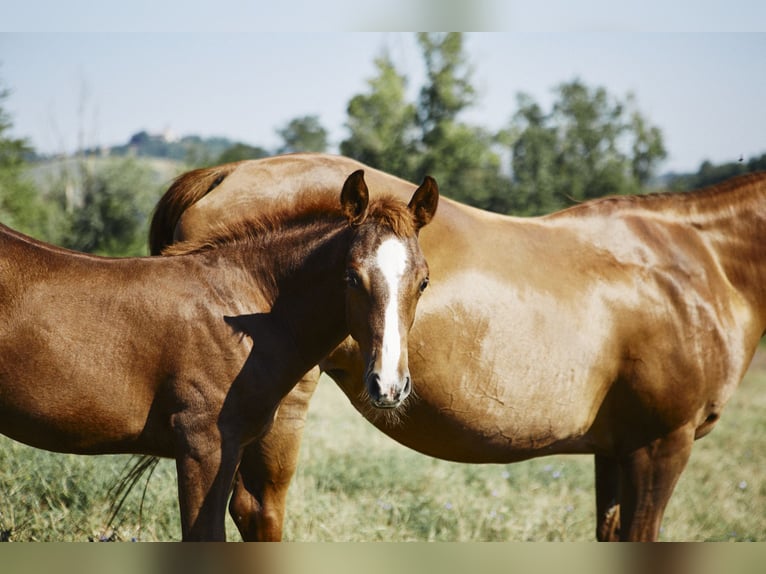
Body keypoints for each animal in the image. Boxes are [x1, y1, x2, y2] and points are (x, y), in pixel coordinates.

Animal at [0, 169, 440, 544]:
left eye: (423, 281)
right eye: (351, 276)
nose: (388, 386)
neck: (246, 304)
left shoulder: (239, 448)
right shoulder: (203, 444)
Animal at [150, 154, 766, 544]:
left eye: (425, 281)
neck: (698, 262)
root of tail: (226, 172)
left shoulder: (617, 449)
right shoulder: (661, 445)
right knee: (259, 513)